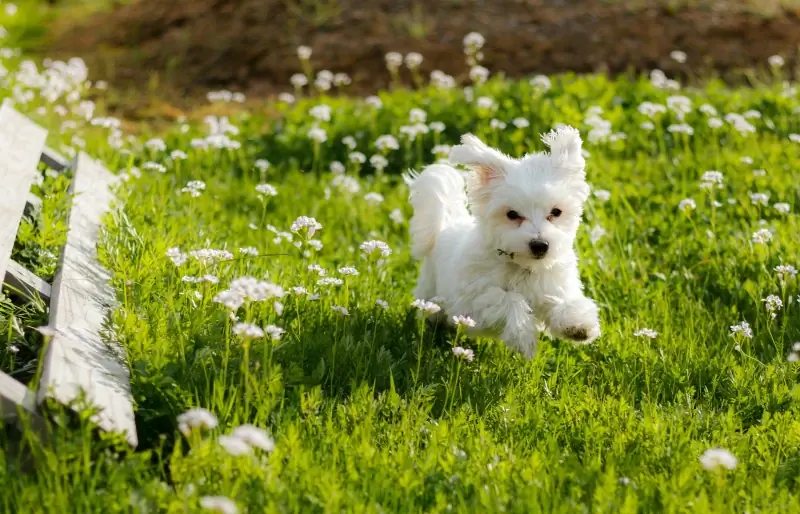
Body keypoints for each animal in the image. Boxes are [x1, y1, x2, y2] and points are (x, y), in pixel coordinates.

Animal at [406, 126, 600, 358]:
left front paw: (578, 324)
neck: (522, 267)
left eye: (556, 212)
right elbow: (507, 299)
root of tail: (446, 225)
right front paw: (523, 337)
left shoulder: (554, 283)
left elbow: (564, 300)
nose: (540, 245)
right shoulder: (471, 306)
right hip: (432, 293)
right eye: (512, 214)